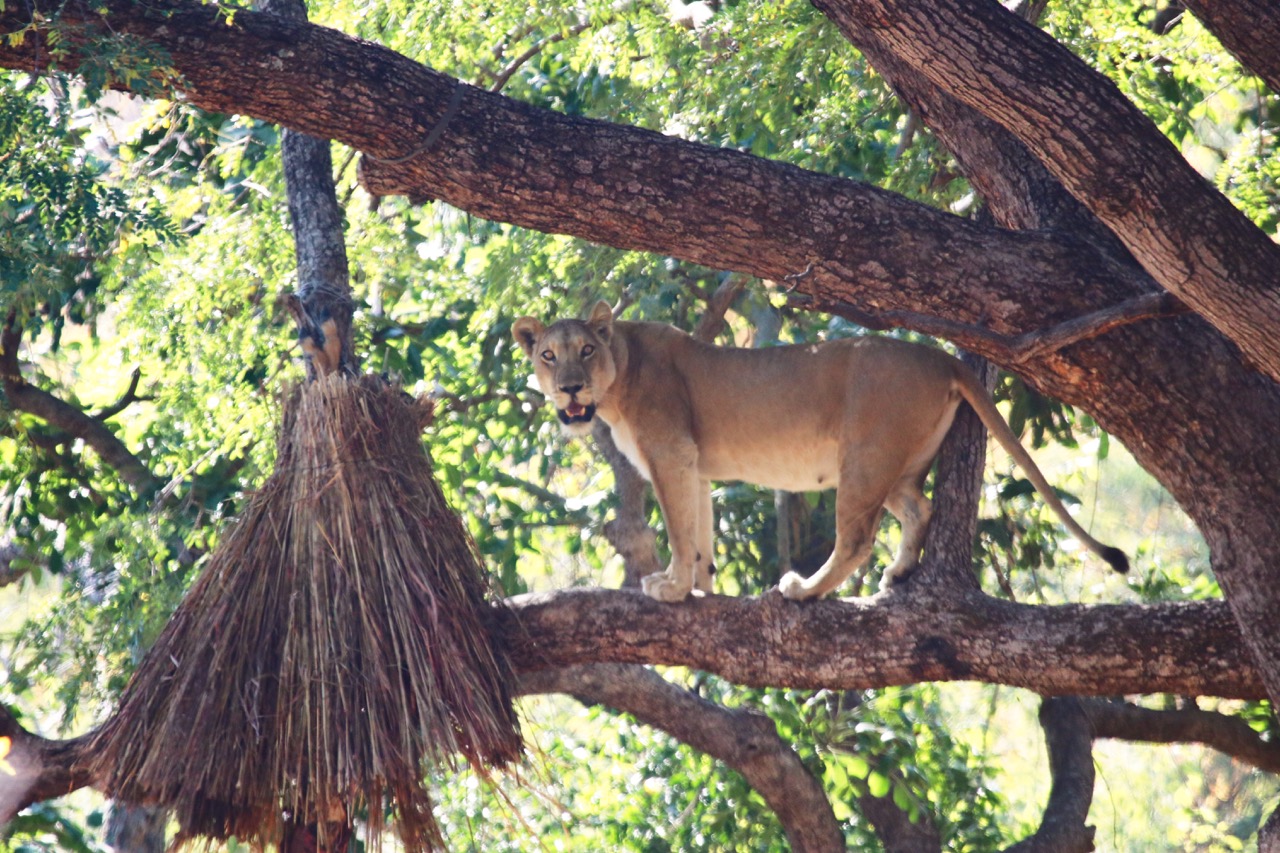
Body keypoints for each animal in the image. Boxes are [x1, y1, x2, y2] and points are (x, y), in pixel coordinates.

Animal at [512, 301, 1127, 602]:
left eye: (586, 350)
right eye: (548, 355)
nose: (570, 388)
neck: (619, 376)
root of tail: (939, 356)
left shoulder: (670, 454)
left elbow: (682, 532)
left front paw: (673, 590)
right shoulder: (693, 464)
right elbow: (701, 532)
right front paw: (701, 588)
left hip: (864, 457)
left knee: (855, 541)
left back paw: (803, 591)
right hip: (896, 466)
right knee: (920, 509)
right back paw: (898, 575)